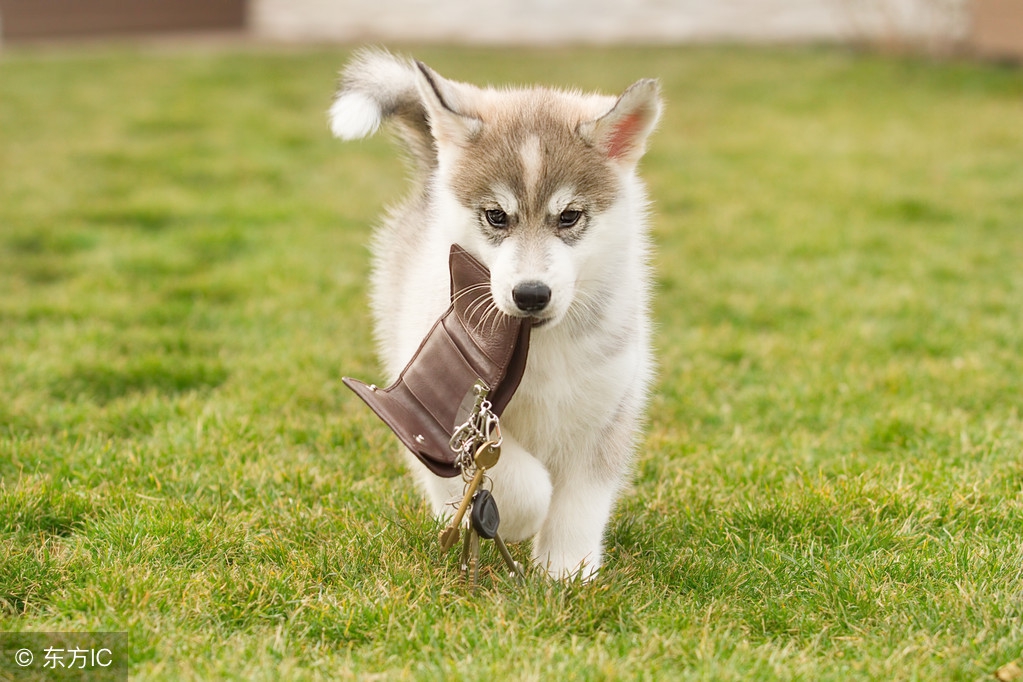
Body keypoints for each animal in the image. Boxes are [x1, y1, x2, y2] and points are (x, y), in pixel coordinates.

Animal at [331, 49, 658, 580]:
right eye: (497, 216)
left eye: (569, 216)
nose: (531, 294)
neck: (542, 348)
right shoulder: (465, 426)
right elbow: (520, 482)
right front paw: (512, 521)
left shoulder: (605, 410)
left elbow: (580, 503)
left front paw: (567, 570)